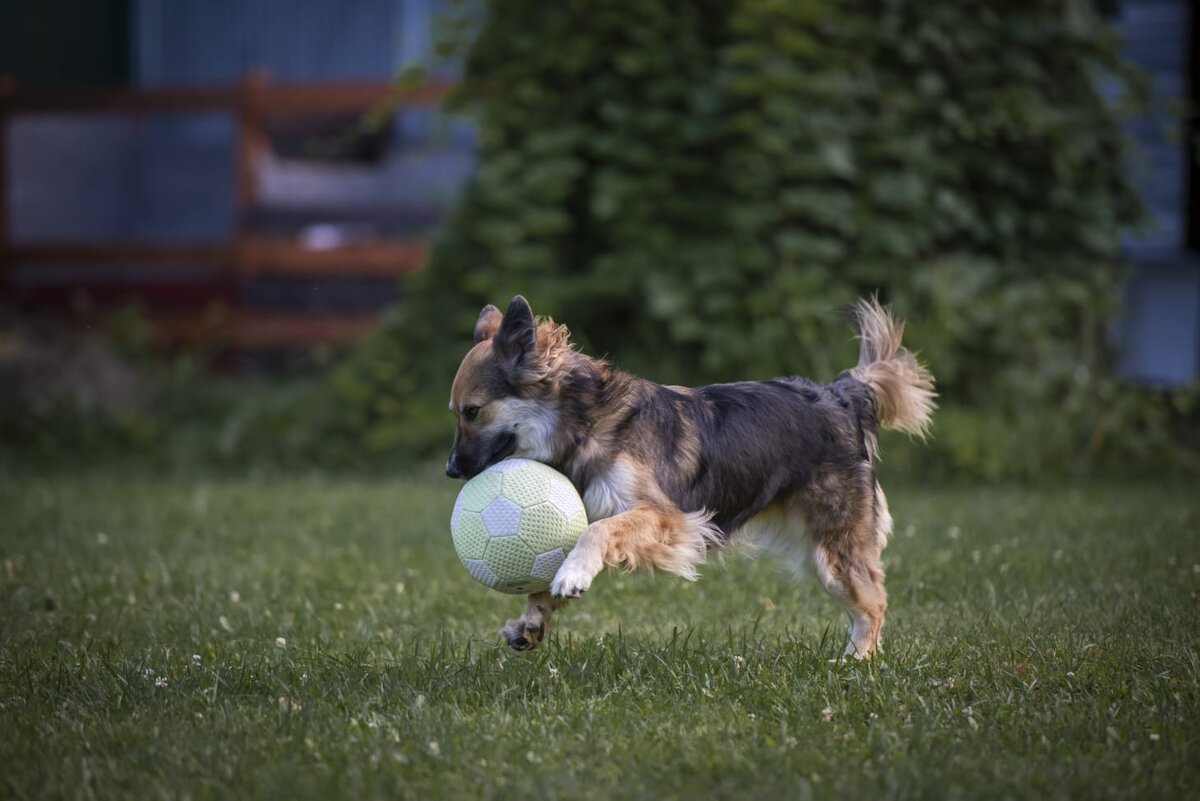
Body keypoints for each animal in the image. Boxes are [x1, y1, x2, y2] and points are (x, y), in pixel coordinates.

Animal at [446, 293, 931, 657]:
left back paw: (855, 660)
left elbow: (598, 532)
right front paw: (531, 620)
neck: (584, 424)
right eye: (457, 412)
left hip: (832, 547)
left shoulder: (667, 518)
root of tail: (840, 396)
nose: (451, 469)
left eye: (472, 411)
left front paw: (574, 573)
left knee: (873, 602)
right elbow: (549, 572)